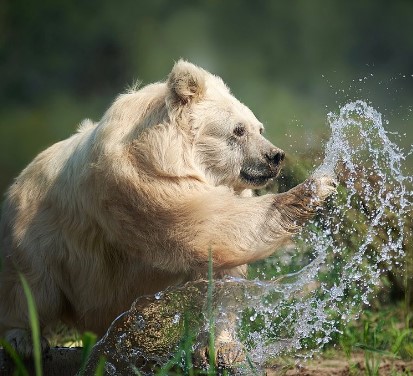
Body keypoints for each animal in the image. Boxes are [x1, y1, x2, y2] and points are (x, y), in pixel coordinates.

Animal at [0, 60, 334, 362]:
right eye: (238, 130)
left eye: (259, 127)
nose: (274, 156)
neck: (165, 151)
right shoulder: (140, 181)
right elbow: (204, 227)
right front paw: (314, 188)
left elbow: (220, 277)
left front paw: (223, 347)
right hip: (38, 236)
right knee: (30, 287)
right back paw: (24, 339)